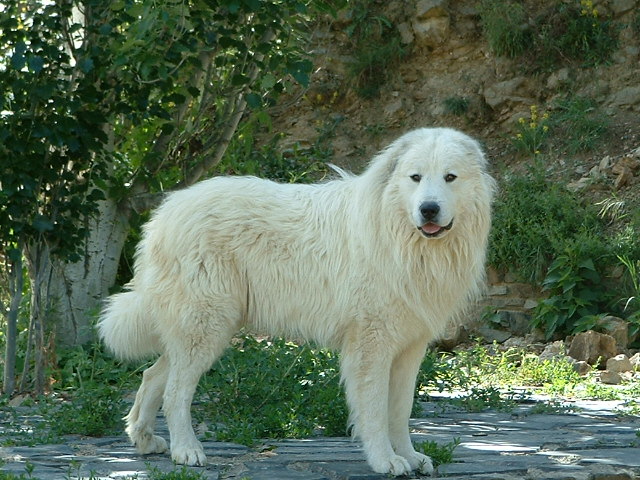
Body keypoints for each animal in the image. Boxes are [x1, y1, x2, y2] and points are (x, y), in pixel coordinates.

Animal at [97, 127, 496, 476]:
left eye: (450, 177)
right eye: (415, 177)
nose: (429, 209)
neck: (400, 236)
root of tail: (165, 214)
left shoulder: (409, 347)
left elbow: (400, 411)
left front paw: (410, 458)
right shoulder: (371, 345)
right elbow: (374, 411)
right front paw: (386, 461)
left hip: (202, 329)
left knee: (153, 376)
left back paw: (144, 440)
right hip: (207, 326)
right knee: (176, 391)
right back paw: (187, 450)